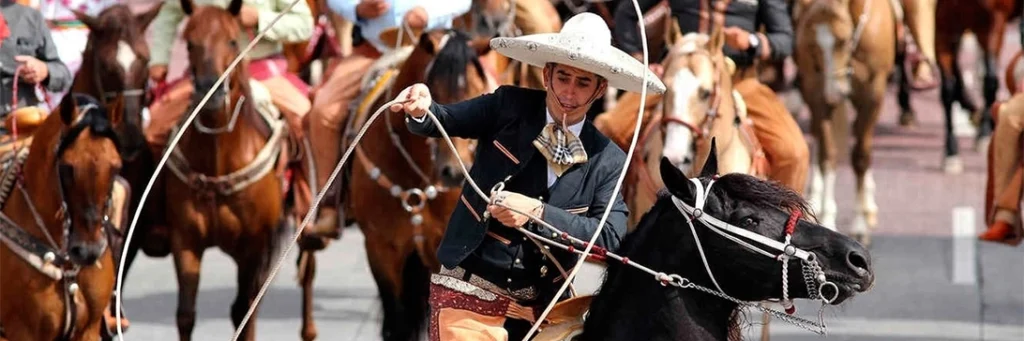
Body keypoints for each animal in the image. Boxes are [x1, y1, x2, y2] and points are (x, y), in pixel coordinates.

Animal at [163, 1, 292, 337]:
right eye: (190, 43)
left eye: (233, 41)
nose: (211, 90)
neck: (218, 165)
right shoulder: (185, 240)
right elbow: (185, 314)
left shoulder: (255, 246)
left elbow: (244, 311)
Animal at [790, 0, 897, 244]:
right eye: (813, 45)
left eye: (844, 40)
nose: (835, 94)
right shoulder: (816, 93)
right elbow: (828, 156)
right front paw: (827, 220)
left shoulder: (872, 96)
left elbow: (860, 156)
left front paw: (859, 224)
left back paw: (868, 205)